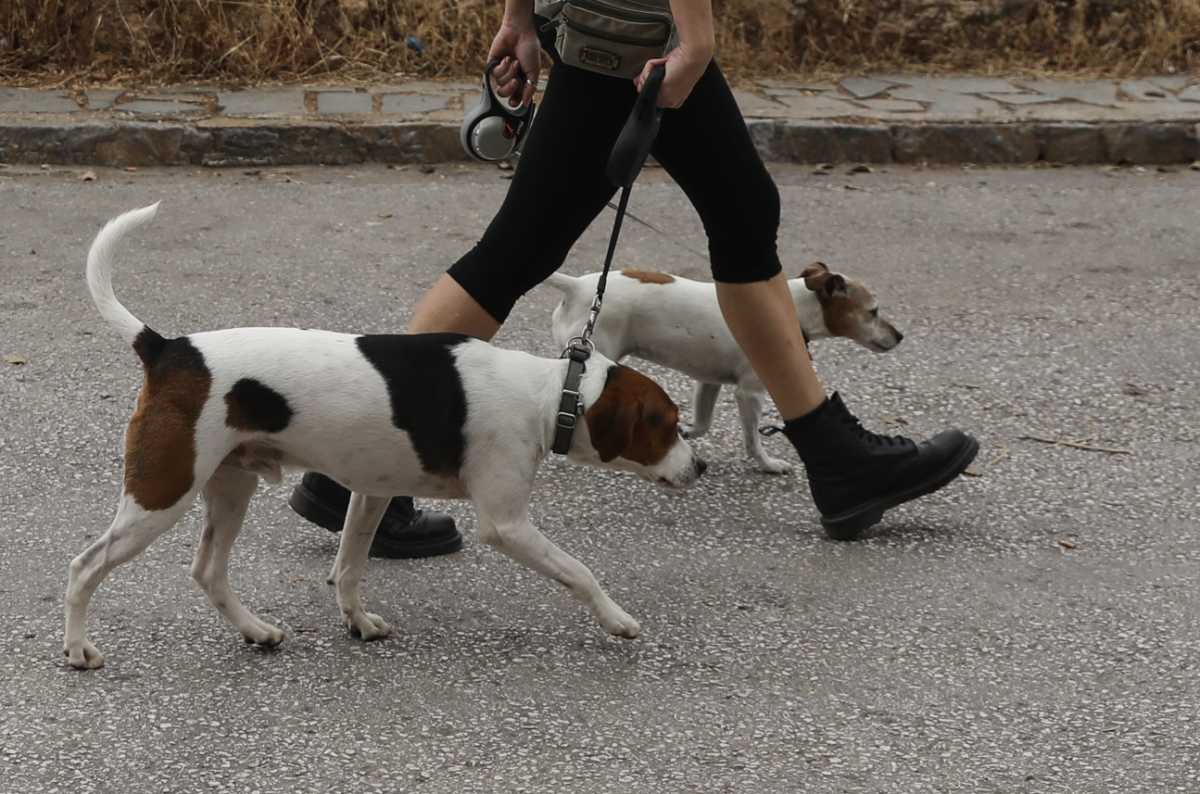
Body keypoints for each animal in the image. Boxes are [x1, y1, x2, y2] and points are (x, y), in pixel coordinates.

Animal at [65, 205, 700, 671]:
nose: (701, 468)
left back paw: (256, 630)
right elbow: (580, 571)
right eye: (669, 424)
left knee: (208, 571)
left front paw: (357, 622)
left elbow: (349, 567)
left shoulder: (371, 493)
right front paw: (616, 619)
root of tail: (168, 349)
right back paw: (77, 648)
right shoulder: (507, 526)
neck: (549, 395)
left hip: (230, 487)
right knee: (84, 565)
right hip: (162, 495)